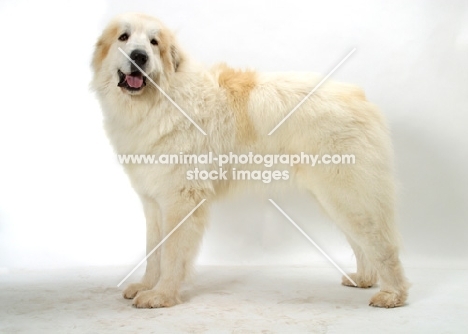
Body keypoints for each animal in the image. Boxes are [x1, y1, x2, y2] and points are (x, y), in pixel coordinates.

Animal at [90, 12, 406, 308]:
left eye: (154, 42)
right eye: (124, 37)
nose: (139, 56)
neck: (161, 100)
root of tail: (360, 97)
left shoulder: (180, 200)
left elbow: (171, 253)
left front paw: (162, 295)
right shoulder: (154, 202)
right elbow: (153, 251)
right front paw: (146, 286)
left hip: (349, 195)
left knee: (383, 245)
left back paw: (392, 294)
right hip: (335, 199)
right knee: (361, 242)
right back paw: (364, 279)